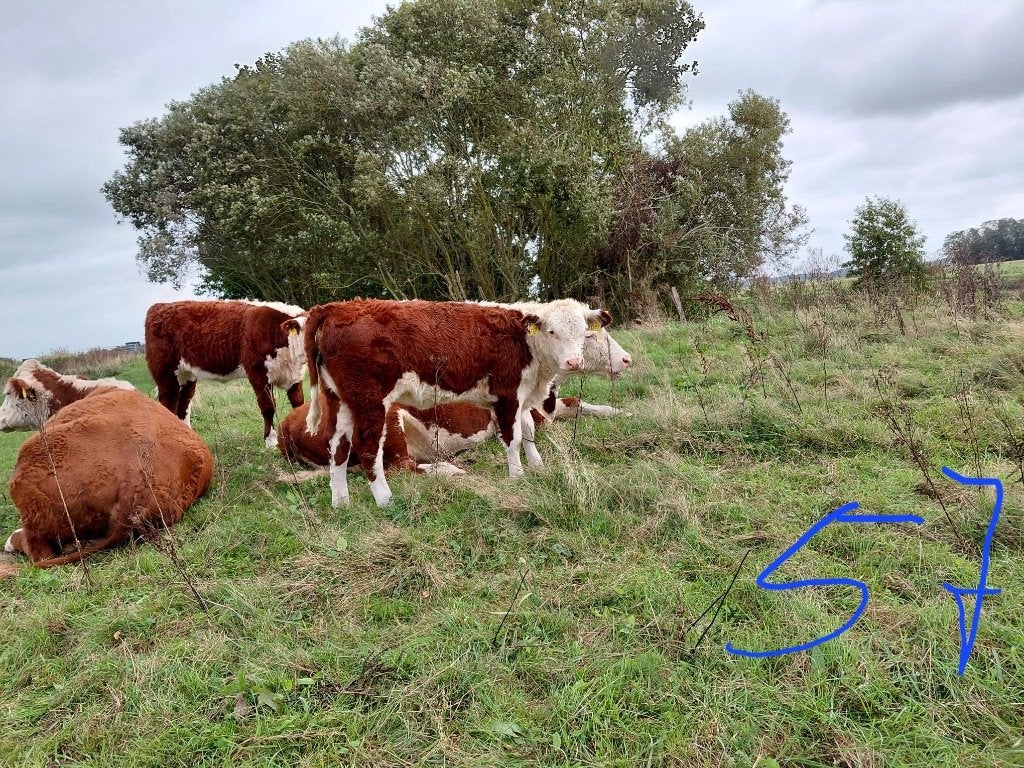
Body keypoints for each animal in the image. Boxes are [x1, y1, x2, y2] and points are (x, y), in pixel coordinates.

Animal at [144, 300, 306, 447]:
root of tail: (160, 306)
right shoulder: (258, 373)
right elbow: (268, 407)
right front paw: (271, 442)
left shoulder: (295, 375)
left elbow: (298, 403)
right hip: (165, 372)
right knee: (169, 403)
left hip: (187, 375)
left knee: (184, 403)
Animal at [278, 326, 632, 474]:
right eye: (590, 335)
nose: (627, 359)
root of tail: (287, 422)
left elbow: (578, 403)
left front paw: (620, 411)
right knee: (400, 467)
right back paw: (453, 471)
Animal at [304, 298, 610, 507]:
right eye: (551, 332)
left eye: (584, 333)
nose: (574, 362)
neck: (524, 342)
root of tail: (334, 307)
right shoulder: (507, 394)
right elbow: (513, 438)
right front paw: (517, 476)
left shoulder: (521, 395)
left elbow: (528, 431)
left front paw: (537, 466)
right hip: (370, 402)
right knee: (367, 447)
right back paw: (385, 499)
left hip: (341, 401)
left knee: (338, 446)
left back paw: (341, 502)